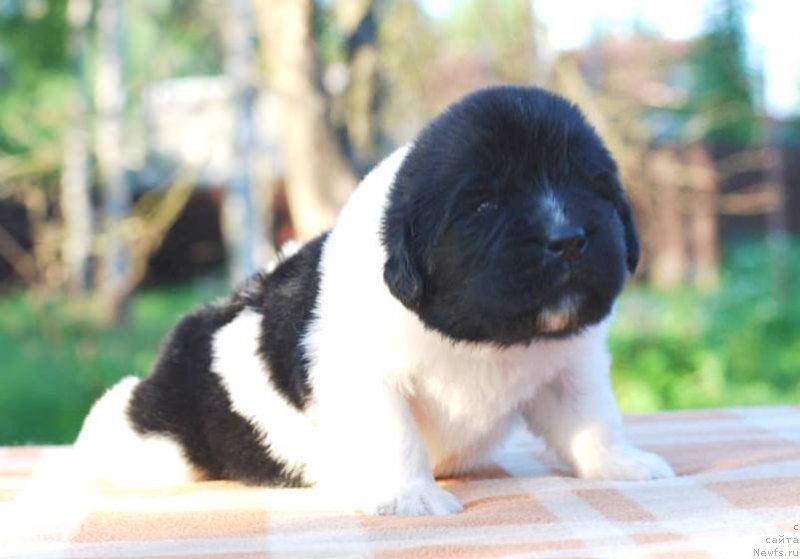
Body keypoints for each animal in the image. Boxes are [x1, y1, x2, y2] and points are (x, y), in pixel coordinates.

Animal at [75, 85, 676, 520]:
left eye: (594, 188)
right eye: (482, 204)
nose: (568, 238)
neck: (485, 339)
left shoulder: (569, 367)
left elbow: (593, 419)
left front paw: (623, 463)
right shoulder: (361, 375)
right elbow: (396, 435)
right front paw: (411, 496)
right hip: (159, 444)